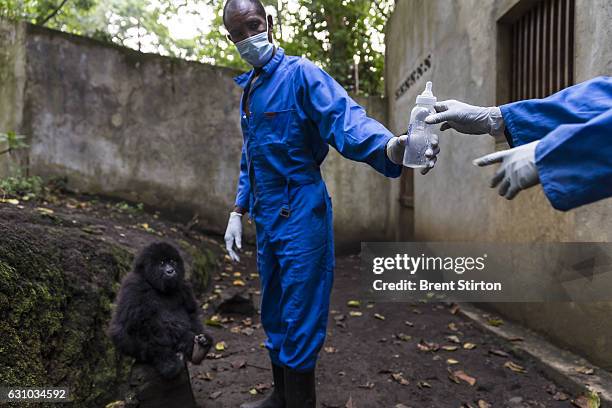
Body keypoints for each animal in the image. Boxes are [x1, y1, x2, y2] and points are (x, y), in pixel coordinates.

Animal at [109, 241, 213, 378]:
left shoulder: (184, 285)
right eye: (162, 263)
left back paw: (198, 350)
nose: (170, 271)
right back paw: (166, 360)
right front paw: (166, 355)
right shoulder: (134, 286)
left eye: (172, 261)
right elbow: (134, 324)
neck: (152, 283)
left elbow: (192, 314)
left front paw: (192, 341)